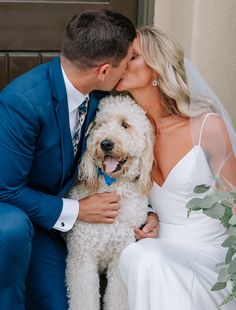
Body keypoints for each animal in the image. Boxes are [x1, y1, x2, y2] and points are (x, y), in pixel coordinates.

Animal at [65, 95, 154, 310]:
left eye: (125, 125)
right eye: (100, 124)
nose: (105, 143)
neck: (114, 186)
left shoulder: (121, 254)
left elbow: (118, 298)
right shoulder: (82, 256)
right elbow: (84, 298)